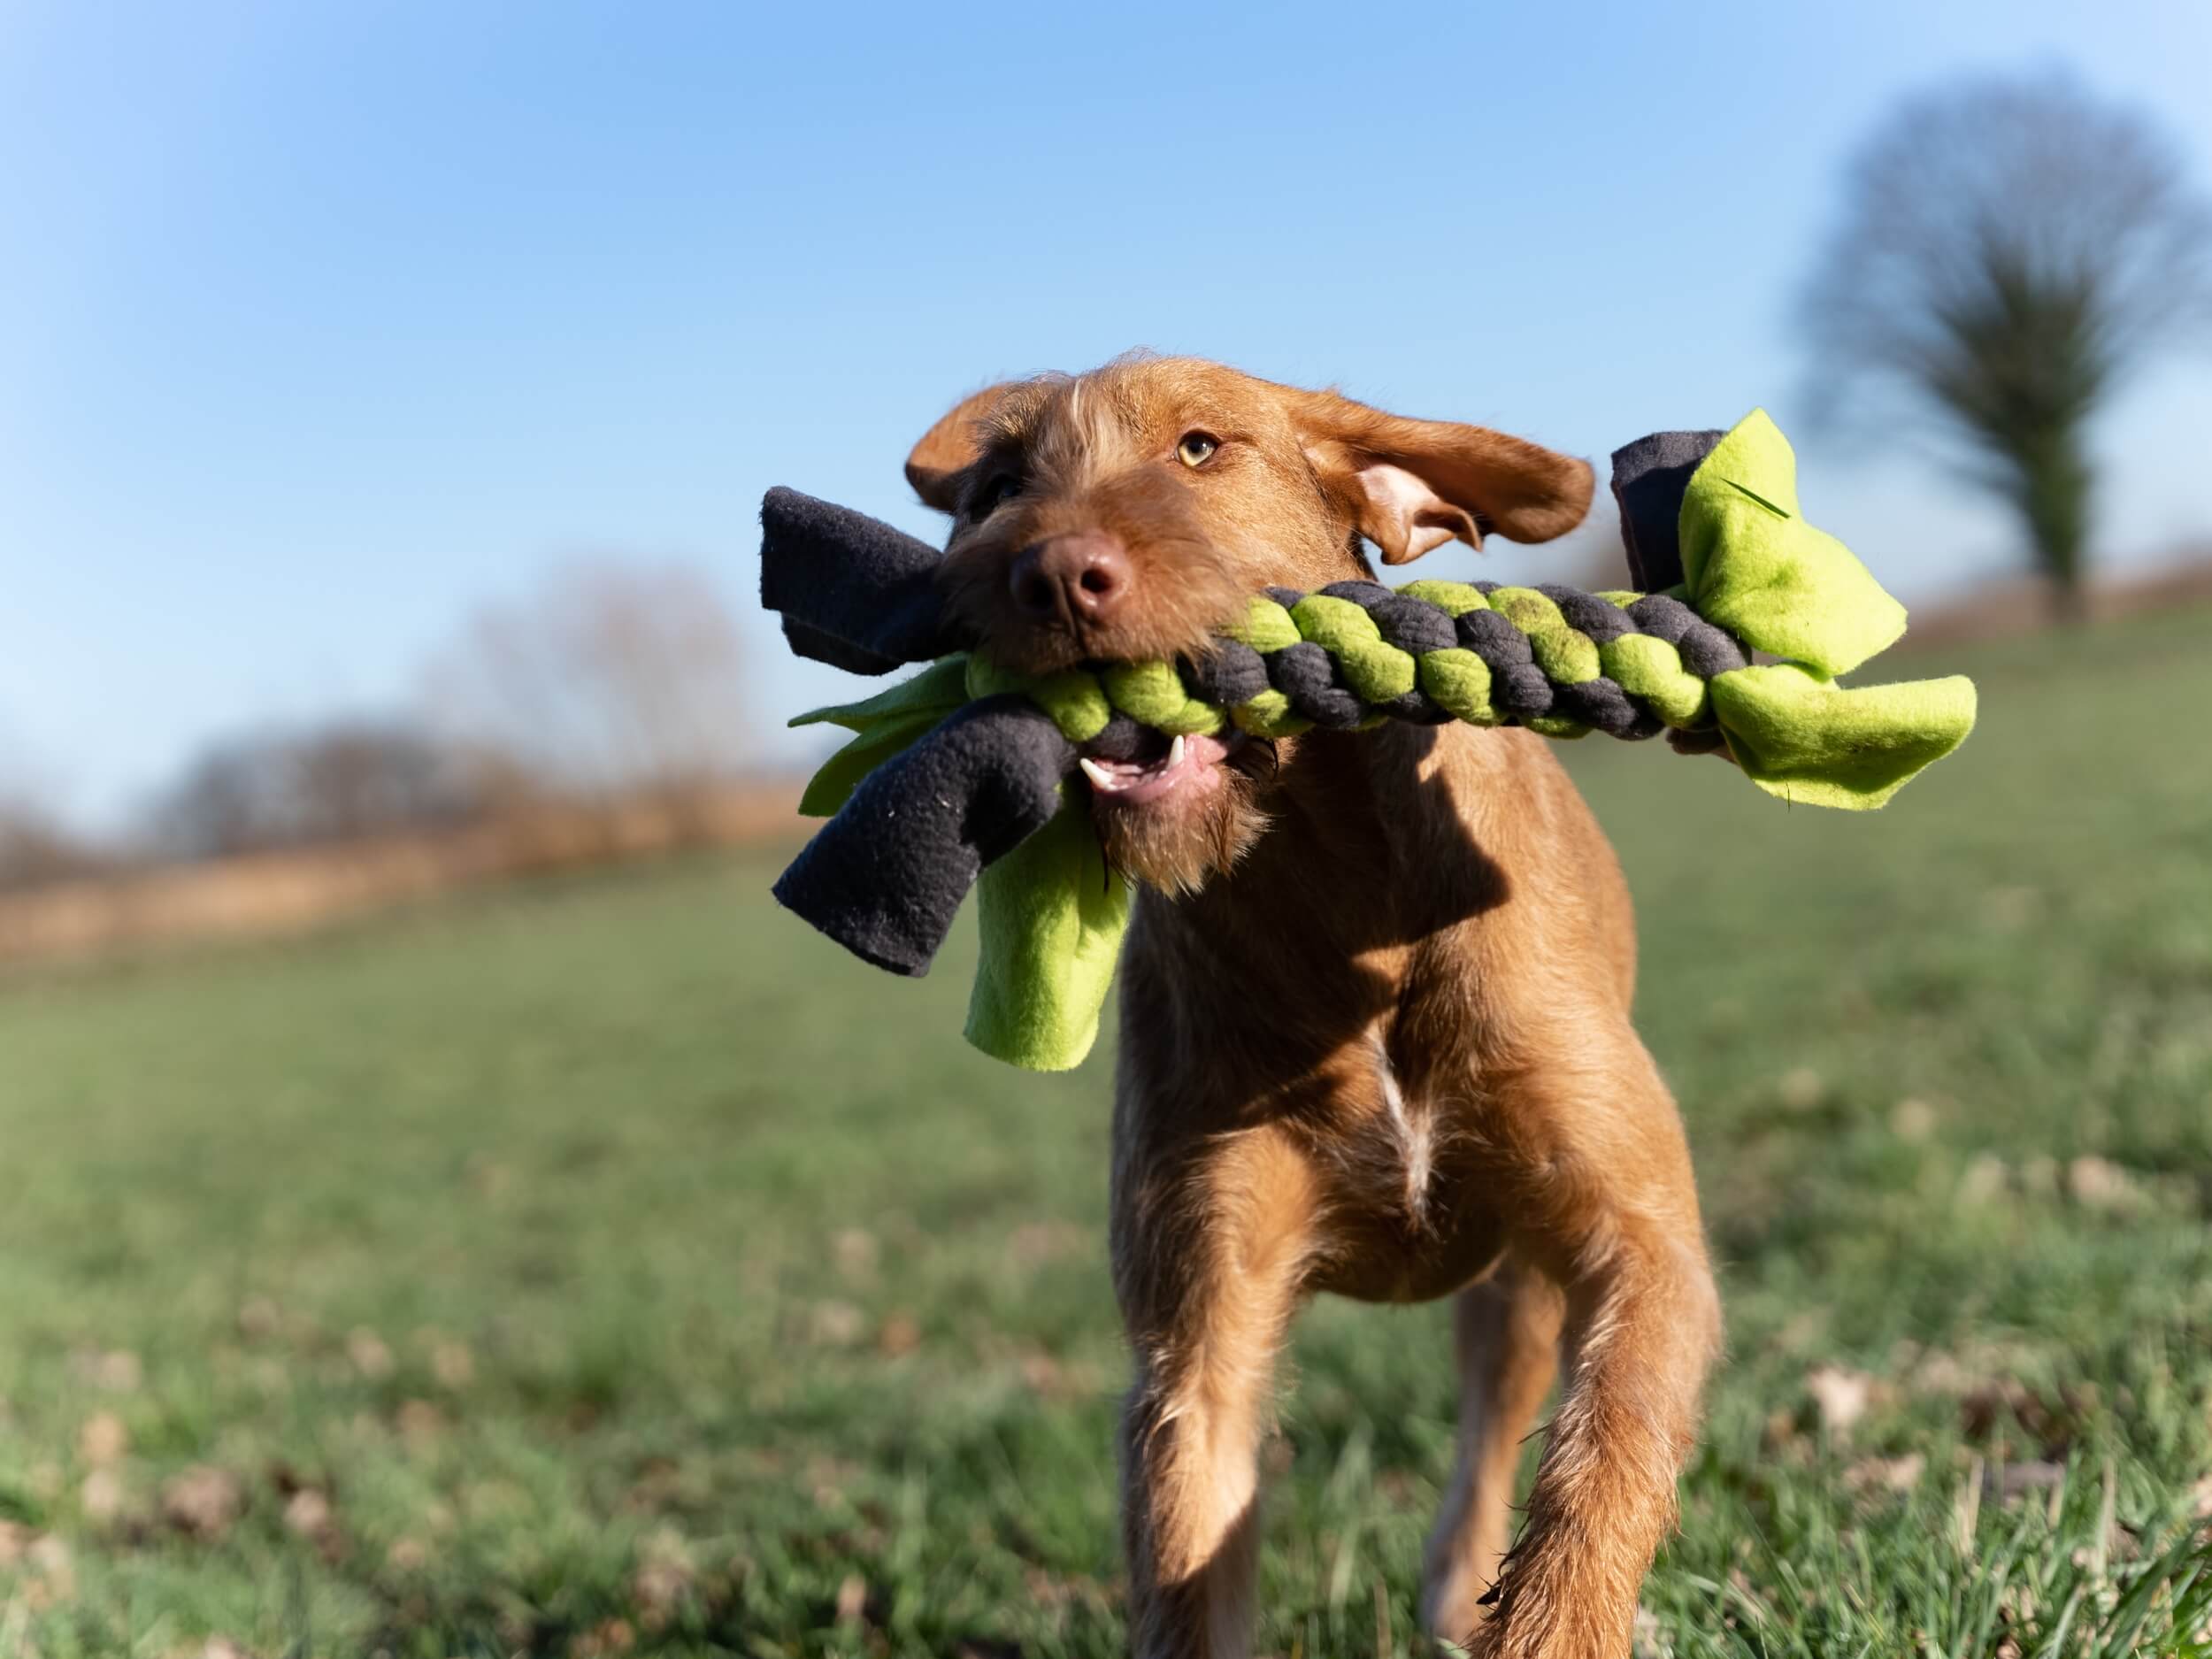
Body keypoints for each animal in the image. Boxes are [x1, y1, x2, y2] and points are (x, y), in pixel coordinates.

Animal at [907, 360, 1717, 1659]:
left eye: (1198, 446)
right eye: (998, 487)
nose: (1054, 571)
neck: (1337, 898)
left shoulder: (1637, 1238)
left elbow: (1609, 1454)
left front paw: (1552, 1617)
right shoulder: (1198, 1325)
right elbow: (1191, 1554)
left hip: (1521, 1282)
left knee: (1494, 1419)